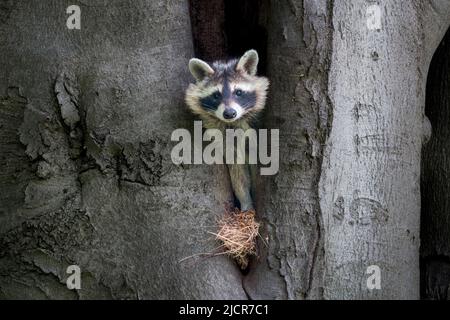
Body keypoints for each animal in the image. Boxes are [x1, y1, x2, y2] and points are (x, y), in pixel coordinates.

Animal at [185, 48, 268, 211]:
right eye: (216, 95)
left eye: (238, 92)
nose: (229, 113)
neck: (233, 122)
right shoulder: (226, 141)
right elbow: (238, 172)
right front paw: (246, 201)